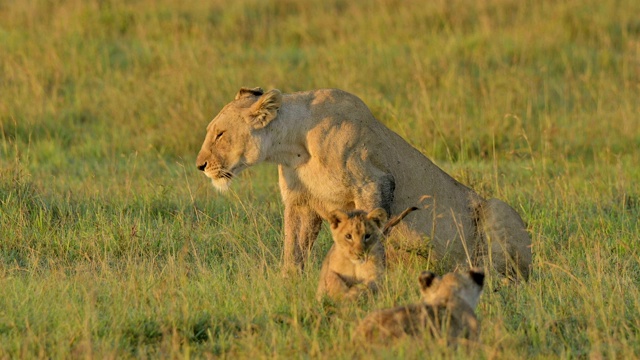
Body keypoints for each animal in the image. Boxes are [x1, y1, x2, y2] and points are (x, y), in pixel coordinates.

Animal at [198, 87, 532, 278]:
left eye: (220, 134)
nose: (200, 165)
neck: (294, 146)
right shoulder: (302, 203)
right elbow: (293, 249)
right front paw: (288, 284)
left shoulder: (374, 183)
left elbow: (373, 239)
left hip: (497, 208)